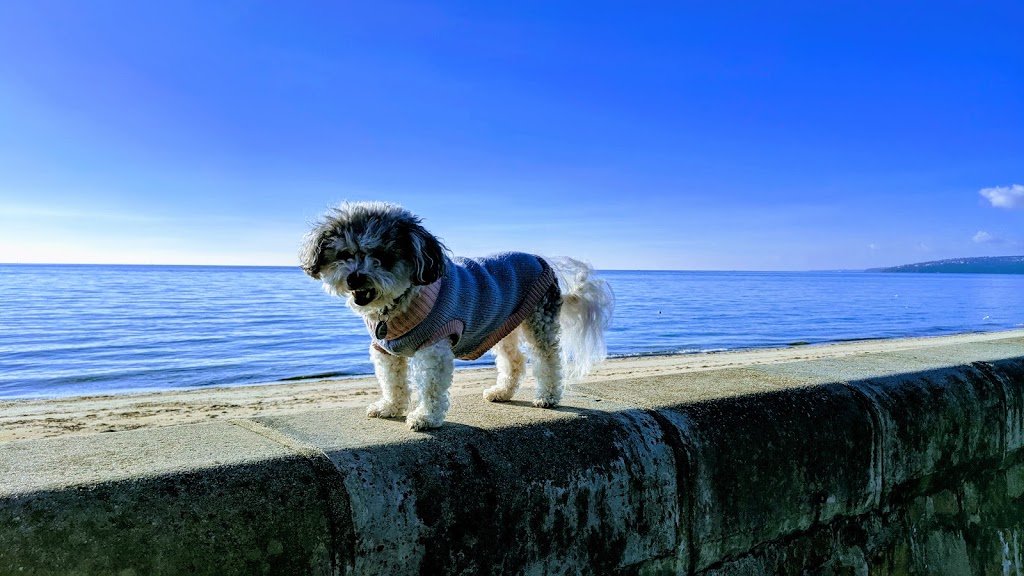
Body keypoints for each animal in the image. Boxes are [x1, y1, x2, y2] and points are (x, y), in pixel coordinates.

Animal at [299, 199, 610, 428]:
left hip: (538, 320)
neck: (401, 303)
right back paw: (502, 392)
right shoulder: (385, 351)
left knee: (548, 359)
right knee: (515, 361)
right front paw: (390, 407)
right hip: (503, 324)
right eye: (344, 255)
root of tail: (541, 260)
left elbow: (430, 386)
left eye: (382, 257)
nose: (354, 278)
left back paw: (548, 396)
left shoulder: (433, 347)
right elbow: (392, 382)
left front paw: (425, 418)